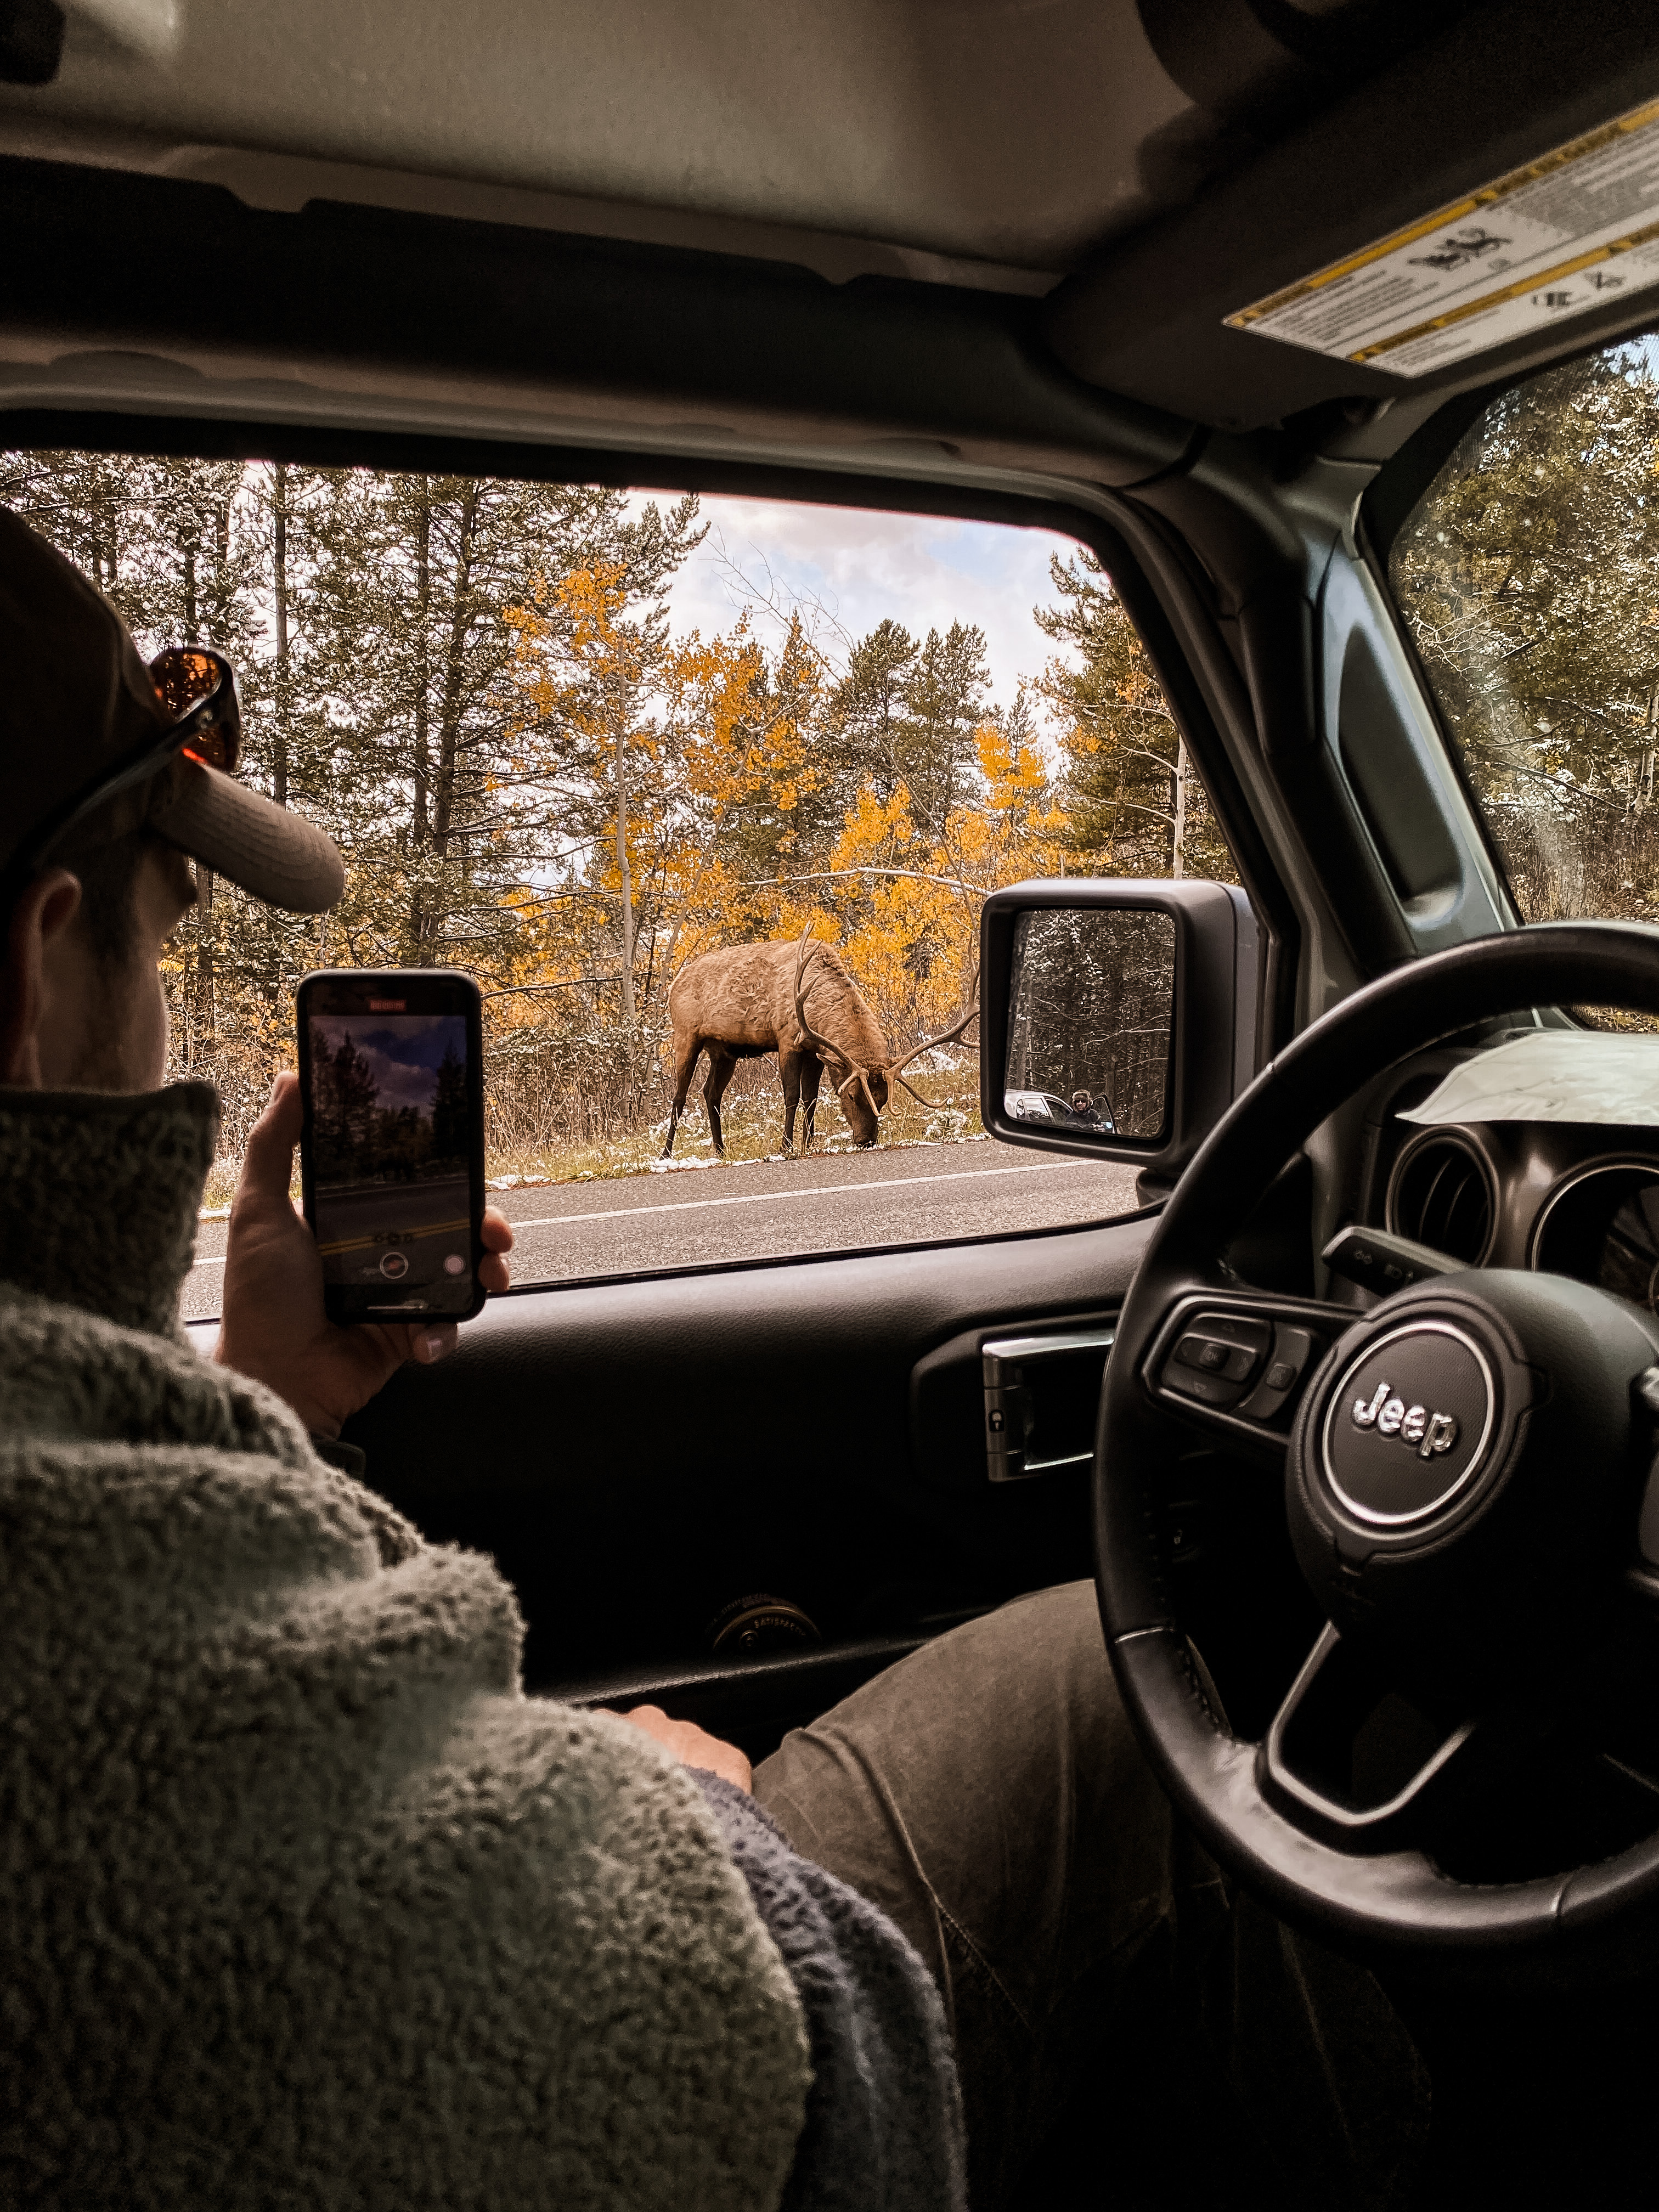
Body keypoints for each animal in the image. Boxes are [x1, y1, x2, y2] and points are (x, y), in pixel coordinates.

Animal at [659, 924, 973, 1159]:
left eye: (883, 1100)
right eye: (851, 1095)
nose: (866, 1140)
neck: (815, 1010)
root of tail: (674, 985)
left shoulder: (815, 1051)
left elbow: (811, 1098)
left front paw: (808, 1144)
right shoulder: (787, 1039)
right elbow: (792, 1096)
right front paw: (785, 1147)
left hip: (724, 1050)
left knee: (710, 1093)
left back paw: (721, 1151)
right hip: (685, 1035)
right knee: (680, 1097)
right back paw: (666, 1154)